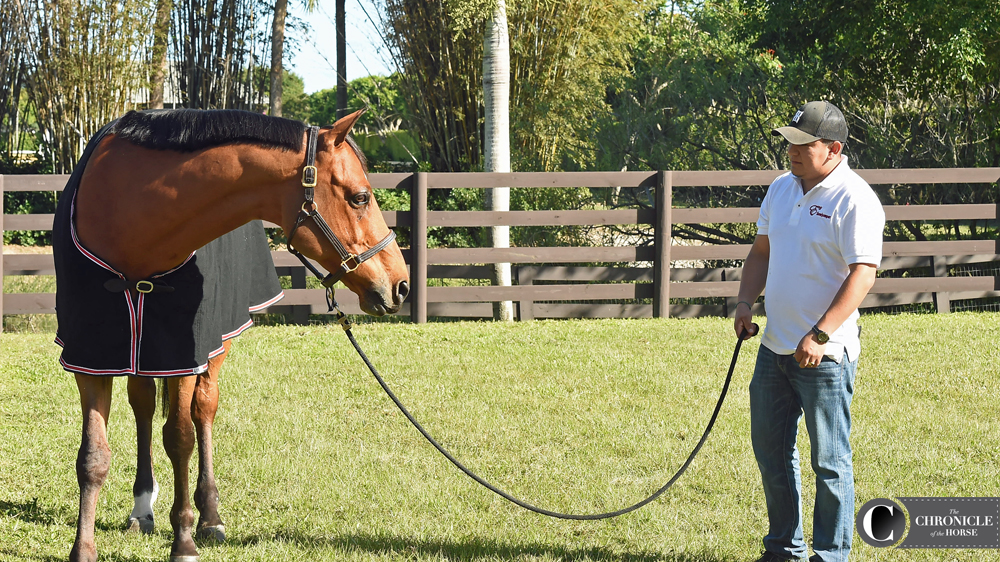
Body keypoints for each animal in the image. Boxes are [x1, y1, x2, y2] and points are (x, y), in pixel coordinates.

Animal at [49, 107, 410, 556]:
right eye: (360, 197)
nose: (400, 285)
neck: (129, 219)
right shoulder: (91, 357)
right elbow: (93, 456)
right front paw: (83, 550)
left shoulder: (184, 356)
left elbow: (180, 437)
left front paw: (185, 541)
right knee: (143, 405)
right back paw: (142, 508)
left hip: (214, 347)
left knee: (203, 410)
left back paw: (209, 517)